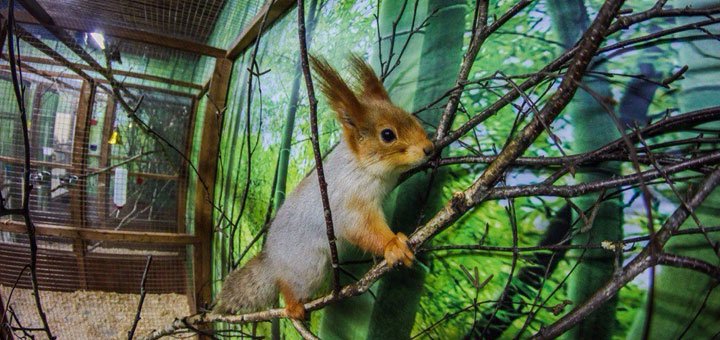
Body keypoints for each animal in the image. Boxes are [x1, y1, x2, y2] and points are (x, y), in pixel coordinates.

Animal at [214, 54, 434, 320]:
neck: (361, 167)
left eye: (411, 117)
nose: (429, 148)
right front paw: (393, 245)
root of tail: (273, 262)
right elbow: (363, 229)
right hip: (309, 267)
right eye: (388, 135)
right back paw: (294, 306)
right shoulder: (349, 204)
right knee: (286, 284)